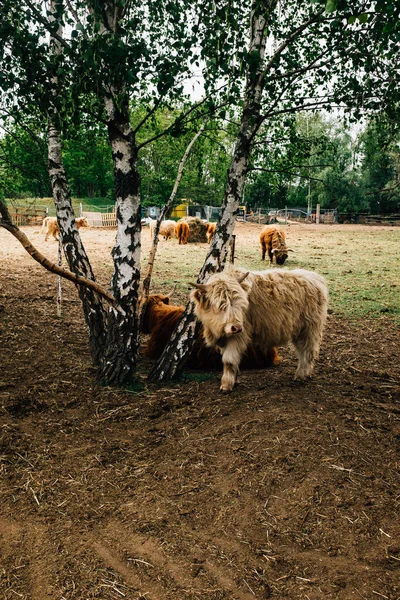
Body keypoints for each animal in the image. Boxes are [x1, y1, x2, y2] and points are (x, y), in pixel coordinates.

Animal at [191, 268, 328, 394]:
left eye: (241, 304)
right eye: (221, 305)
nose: (237, 327)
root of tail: (315, 277)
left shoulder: (238, 337)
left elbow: (228, 360)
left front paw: (226, 385)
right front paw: (235, 380)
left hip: (309, 329)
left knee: (307, 351)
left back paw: (300, 375)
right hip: (300, 331)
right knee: (303, 351)